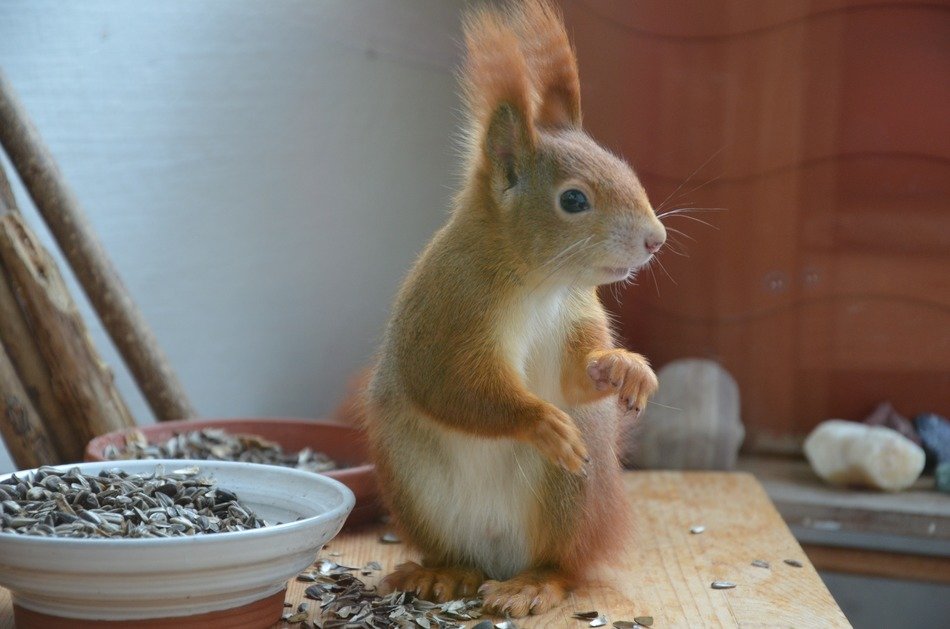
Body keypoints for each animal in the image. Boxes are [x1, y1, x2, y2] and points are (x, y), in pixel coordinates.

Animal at [364, 0, 666, 617]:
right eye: (573, 199)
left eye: (623, 167)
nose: (656, 240)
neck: (539, 284)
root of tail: (497, 555)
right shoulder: (448, 312)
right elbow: (451, 386)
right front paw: (538, 421)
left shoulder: (575, 314)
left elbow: (575, 381)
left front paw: (625, 367)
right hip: (414, 482)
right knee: (462, 554)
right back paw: (445, 573)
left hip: (570, 495)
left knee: (562, 566)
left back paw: (531, 584)